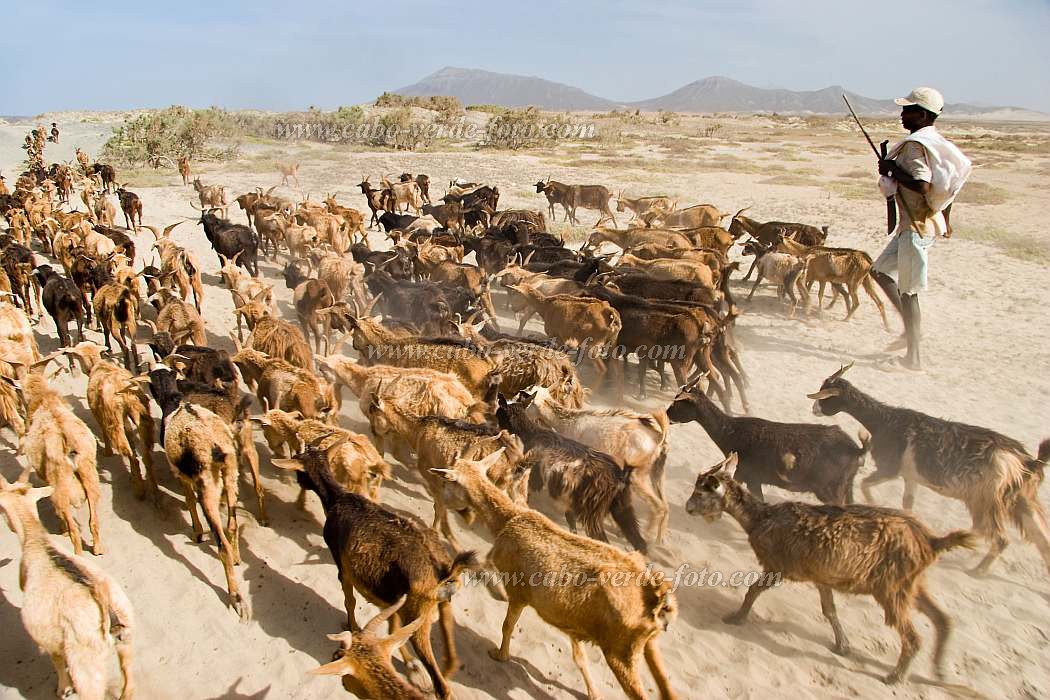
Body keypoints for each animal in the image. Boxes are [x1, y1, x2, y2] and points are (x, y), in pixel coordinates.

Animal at [688, 451, 974, 688]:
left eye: (701, 492)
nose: (688, 507)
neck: (760, 519)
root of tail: (930, 541)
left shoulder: (776, 566)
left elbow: (753, 590)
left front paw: (736, 617)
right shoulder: (820, 576)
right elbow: (829, 610)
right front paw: (842, 645)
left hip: (891, 588)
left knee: (914, 637)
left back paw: (895, 676)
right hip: (910, 584)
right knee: (942, 618)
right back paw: (939, 671)